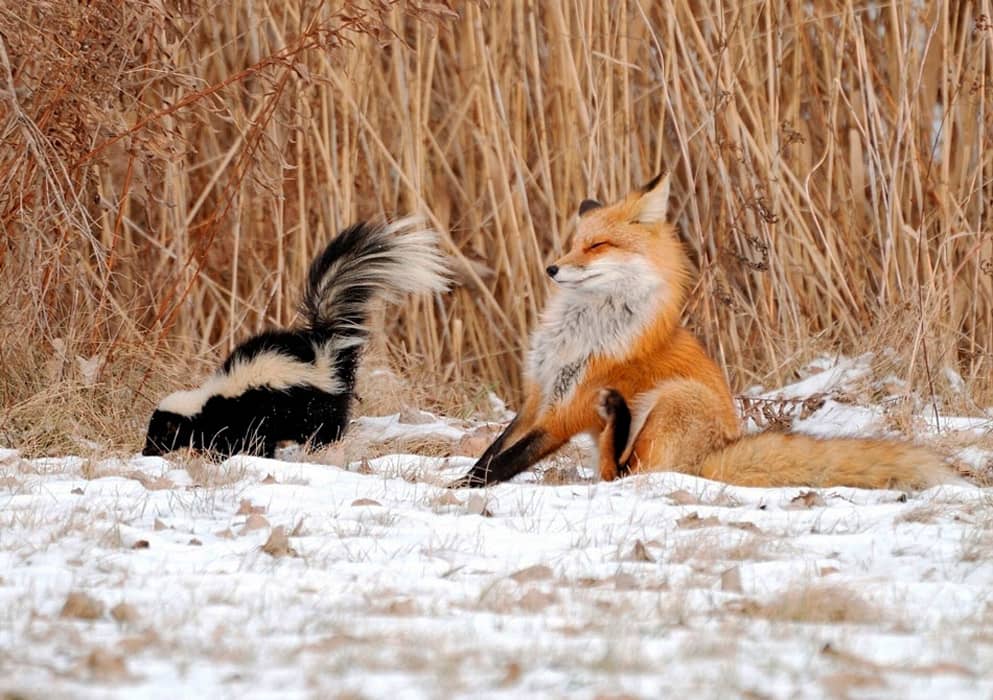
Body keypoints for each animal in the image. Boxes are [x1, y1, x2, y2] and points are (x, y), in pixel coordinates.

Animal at [450, 173, 962, 490]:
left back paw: (619, 415)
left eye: (597, 246)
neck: (580, 333)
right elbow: (492, 452)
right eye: (574, 243)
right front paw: (460, 481)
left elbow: (505, 463)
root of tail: (714, 455)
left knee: (626, 475)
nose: (552, 268)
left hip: (675, 400)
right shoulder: (538, 395)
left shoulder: (566, 410)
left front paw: (459, 490)